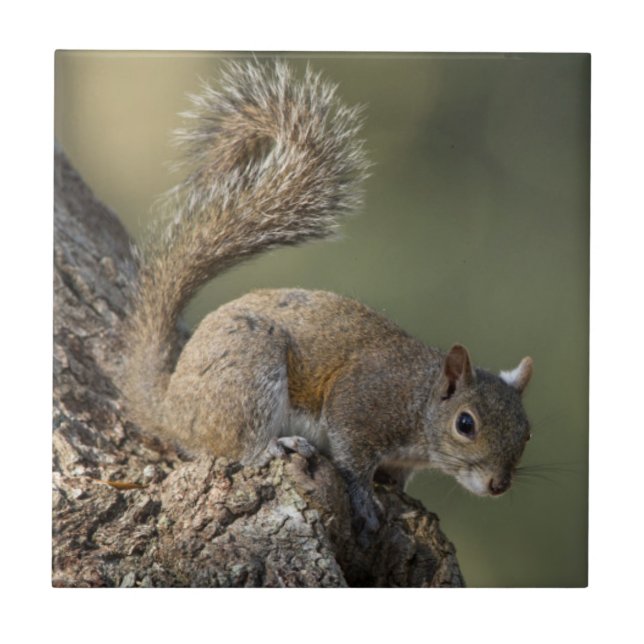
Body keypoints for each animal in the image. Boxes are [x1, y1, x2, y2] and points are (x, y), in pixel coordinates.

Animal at [120, 60, 533, 541]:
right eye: (465, 424)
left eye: (527, 431)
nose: (499, 484)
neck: (419, 399)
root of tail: (170, 407)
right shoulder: (360, 403)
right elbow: (352, 460)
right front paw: (365, 500)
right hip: (249, 373)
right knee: (237, 444)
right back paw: (273, 446)